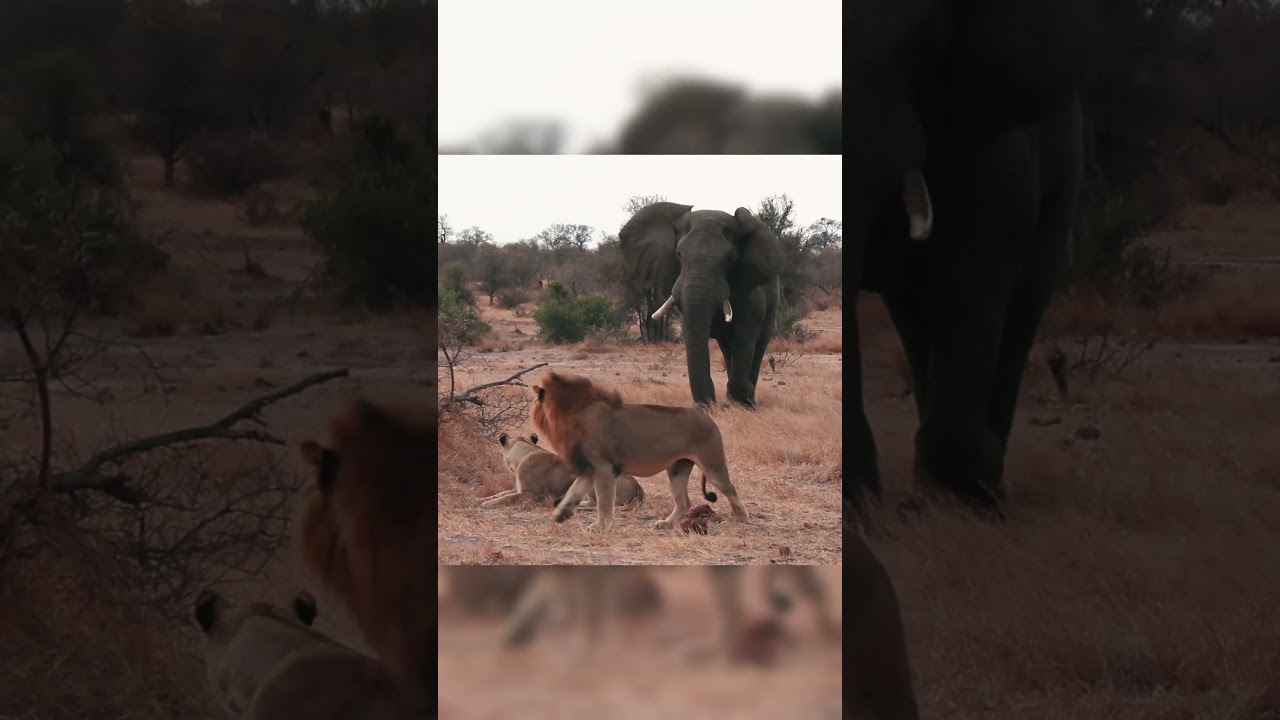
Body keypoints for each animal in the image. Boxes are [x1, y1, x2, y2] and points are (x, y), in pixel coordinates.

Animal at [481, 432, 645, 509]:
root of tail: (639, 489)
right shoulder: (519, 488)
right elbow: (502, 493)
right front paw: (482, 499)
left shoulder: (533, 494)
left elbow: (508, 497)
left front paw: (488, 504)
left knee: (595, 503)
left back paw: (562, 502)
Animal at [529, 371, 749, 533]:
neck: (571, 413)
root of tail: (709, 418)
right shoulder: (590, 468)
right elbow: (573, 492)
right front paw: (559, 515)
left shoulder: (604, 468)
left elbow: (603, 502)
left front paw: (600, 527)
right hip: (678, 468)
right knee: (684, 502)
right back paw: (666, 524)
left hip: (711, 464)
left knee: (730, 488)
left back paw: (741, 517)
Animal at [619, 202, 781, 408]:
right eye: (679, 254)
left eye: (729, 260)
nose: (709, 405)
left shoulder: (749, 293)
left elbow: (744, 338)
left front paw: (744, 397)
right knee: (726, 348)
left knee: (758, 345)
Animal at [846, 0, 1097, 514]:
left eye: (926, 36)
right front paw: (861, 508)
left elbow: (971, 282)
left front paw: (960, 502)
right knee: (914, 319)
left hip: (1065, 177)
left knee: (1019, 311)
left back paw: (983, 491)